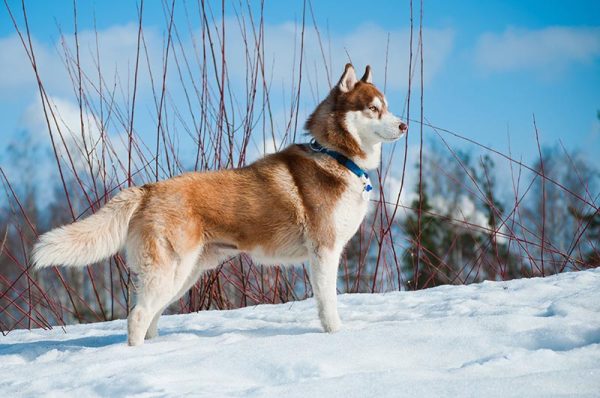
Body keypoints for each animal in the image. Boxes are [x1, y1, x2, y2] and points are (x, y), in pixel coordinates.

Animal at [31, 63, 408, 346]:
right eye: (373, 108)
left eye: (387, 106)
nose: (404, 125)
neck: (337, 157)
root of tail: (148, 189)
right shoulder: (324, 251)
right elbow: (328, 304)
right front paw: (336, 337)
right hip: (169, 272)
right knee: (137, 317)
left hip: (184, 275)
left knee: (150, 316)